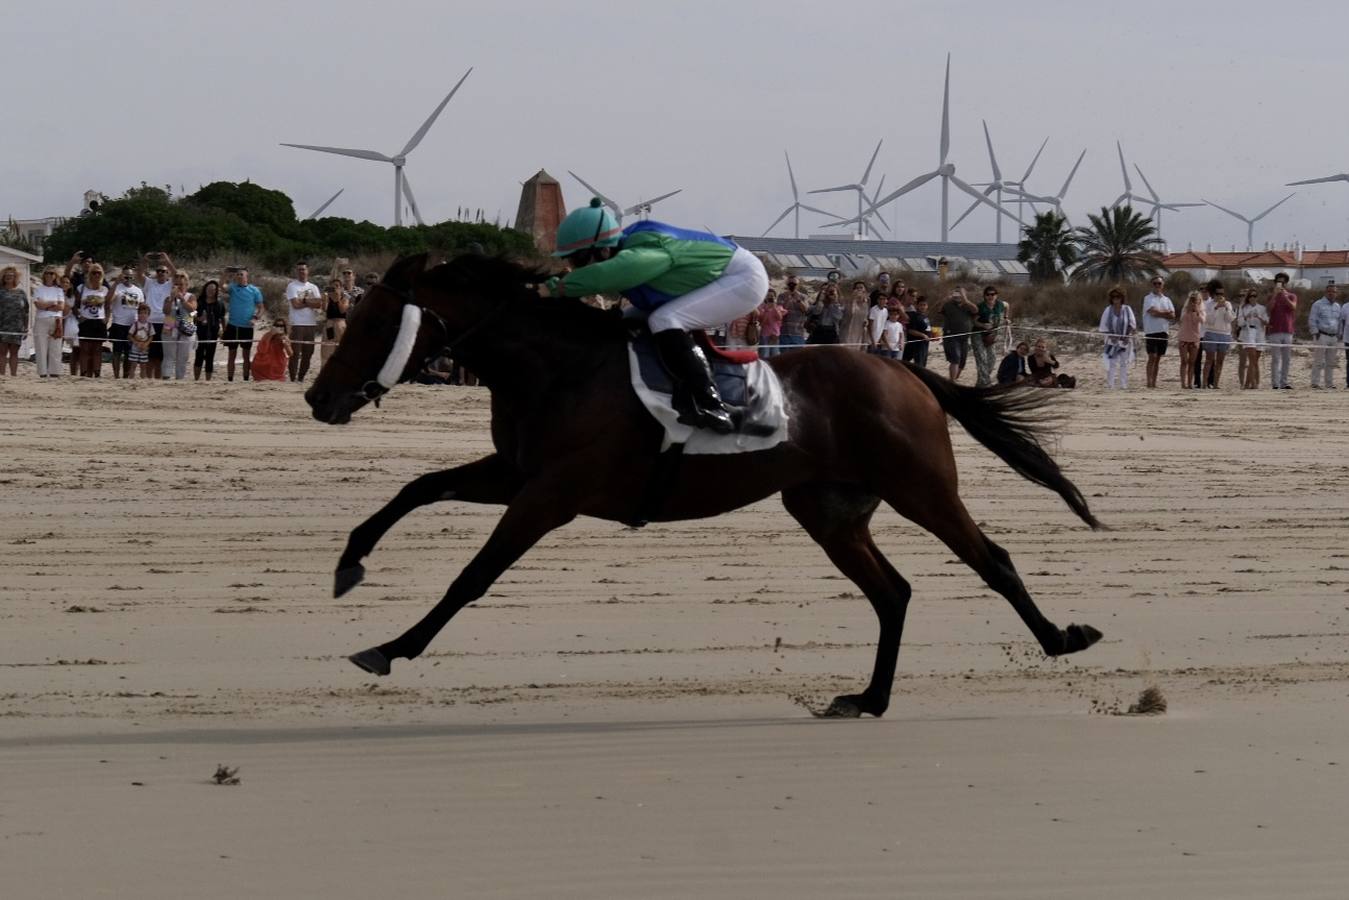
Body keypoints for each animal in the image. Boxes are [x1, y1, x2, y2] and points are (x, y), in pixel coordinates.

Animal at [304, 253, 1103, 718]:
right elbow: (415, 488)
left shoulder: (552, 494)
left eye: (374, 323)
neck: (558, 366)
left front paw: (390, 646)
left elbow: (471, 576)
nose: (318, 398)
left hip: (921, 488)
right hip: (828, 510)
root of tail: (904, 368)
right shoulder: (517, 474)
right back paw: (869, 698)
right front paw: (349, 565)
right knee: (893, 592)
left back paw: (1064, 638)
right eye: (353, 315)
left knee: (992, 561)